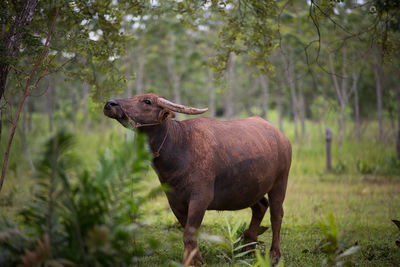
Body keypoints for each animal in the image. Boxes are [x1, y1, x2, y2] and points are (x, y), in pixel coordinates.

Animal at [103, 93, 290, 266]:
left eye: (147, 101)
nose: (110, 104)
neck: (180, 146)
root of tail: (283, 138)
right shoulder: (174, 201)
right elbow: (188, 232)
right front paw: (197, 259)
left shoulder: (200, 198)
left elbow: (189, 233)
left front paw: (189, 261)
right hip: (251, 189)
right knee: (260, 207)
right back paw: (248, 248)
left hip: (280, 183)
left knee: (276, 215)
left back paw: (274, 254)